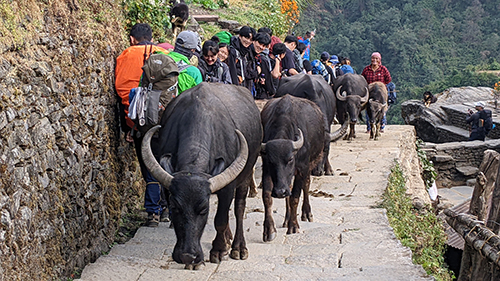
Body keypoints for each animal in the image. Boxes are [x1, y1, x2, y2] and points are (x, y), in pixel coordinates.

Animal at [141, 82, 262, 266]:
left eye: (204, 209)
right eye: (175, 207)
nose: (187, 256)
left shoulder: (228, 187)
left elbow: (220, 219)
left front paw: (219, 250)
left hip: (247, 173)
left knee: (239, 208)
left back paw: (238, 247)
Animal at [260, 95, 346, 240]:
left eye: (290, 159)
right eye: (271, 161)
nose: (279, 192)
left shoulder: (302, 169)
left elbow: (295, 197)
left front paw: (293, 226)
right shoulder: (266, 170)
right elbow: (267, 197)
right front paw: (269, 230)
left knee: (306, 186)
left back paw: (306, 214)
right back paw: (287, 218)